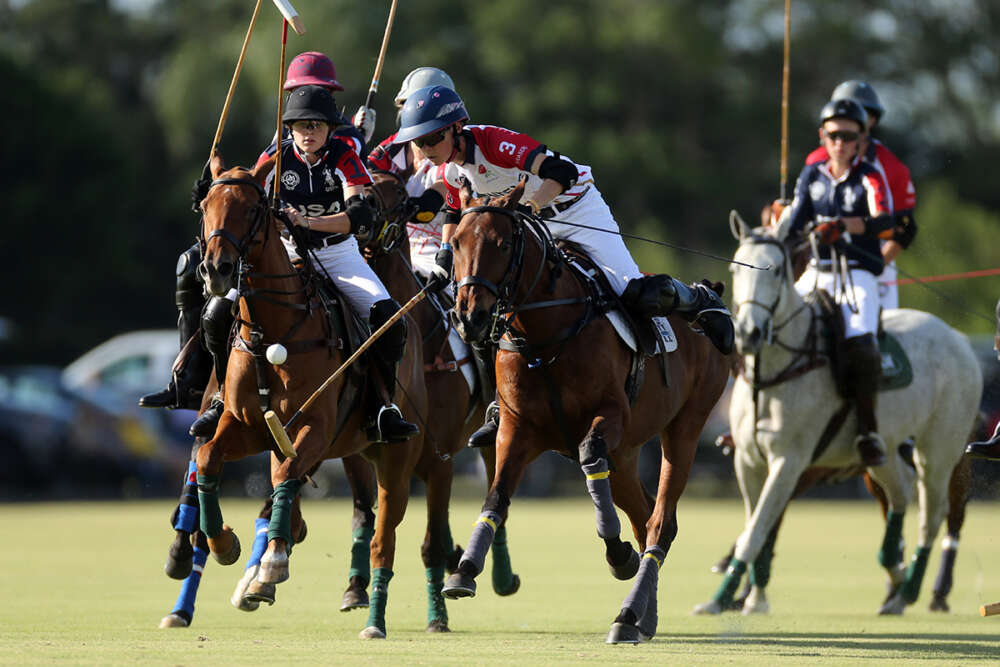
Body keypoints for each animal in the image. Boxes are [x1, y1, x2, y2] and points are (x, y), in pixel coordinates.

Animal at [192, 154, 426, 640]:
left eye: (252, 208)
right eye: (206, 205)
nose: (217, 269)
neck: (272, 331)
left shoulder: (314, 426)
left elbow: (286, 478)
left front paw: (272, 565)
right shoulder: (247, 427)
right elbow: (208, 458)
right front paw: (224, 544)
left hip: (395, 456)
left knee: (383, 538)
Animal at [438, 181, 728, 640]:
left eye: (503, 244)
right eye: (456, 244)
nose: (470, 317)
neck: (546, 337)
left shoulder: (610, 416)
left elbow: (591, 459)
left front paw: (618, 556)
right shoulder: (517, 429)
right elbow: (496, 495)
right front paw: (463, 571)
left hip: (686, 426)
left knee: (661, 520)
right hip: (627, 455)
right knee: (644, 515)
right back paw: (644, 617)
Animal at [692, 213, 980, 616]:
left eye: (777, 270)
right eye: (736, 267)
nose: (749, 333)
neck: (774, 372)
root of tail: (958, 338)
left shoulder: (790, 460)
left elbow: (758, 529)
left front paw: (724, 599)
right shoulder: (748, 461)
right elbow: (757, 527)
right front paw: (750, 597)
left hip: (940, 451)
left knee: (933, 516)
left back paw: (910, 590)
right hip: (883, 452)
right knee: (900, 493)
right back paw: (895, 575)